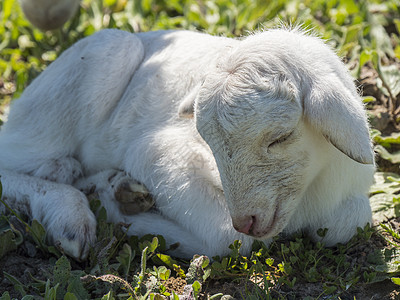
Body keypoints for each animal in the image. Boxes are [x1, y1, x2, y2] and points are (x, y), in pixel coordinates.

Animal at [0, 27, 376, 260]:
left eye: (281, 137)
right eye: (207, 142)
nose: (246, 220)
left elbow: (351, 219)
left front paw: (119, 197)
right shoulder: (156, 152)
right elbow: (229, 240)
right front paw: (123, 216)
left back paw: (108, 184)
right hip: (101, 58)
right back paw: (70, 211)